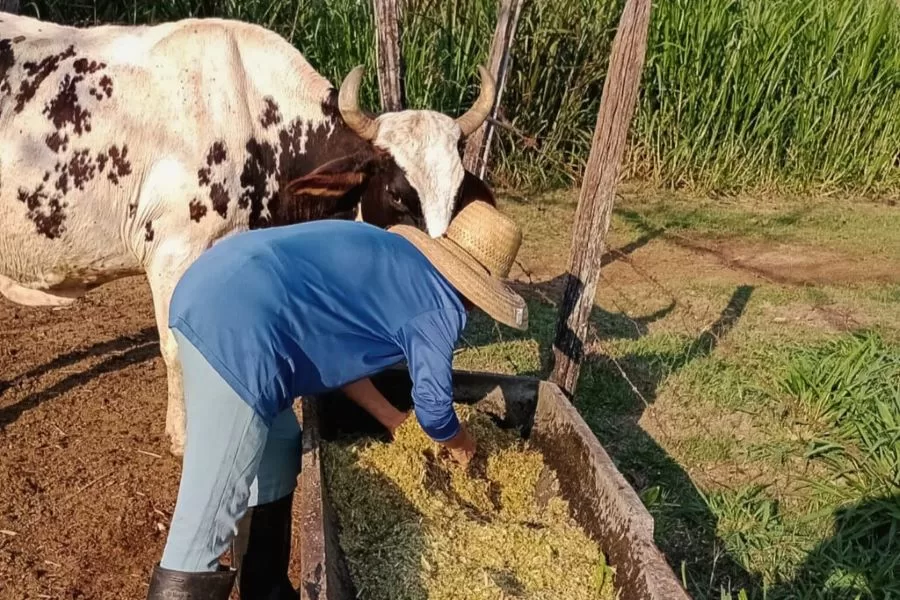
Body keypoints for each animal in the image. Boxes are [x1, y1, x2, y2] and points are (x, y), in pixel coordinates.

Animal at [0, 12, 500, 454]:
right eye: (397, 195)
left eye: (458, 194)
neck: (256, 125)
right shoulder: (171, 252)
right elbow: (177, 348)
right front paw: (185, 439)